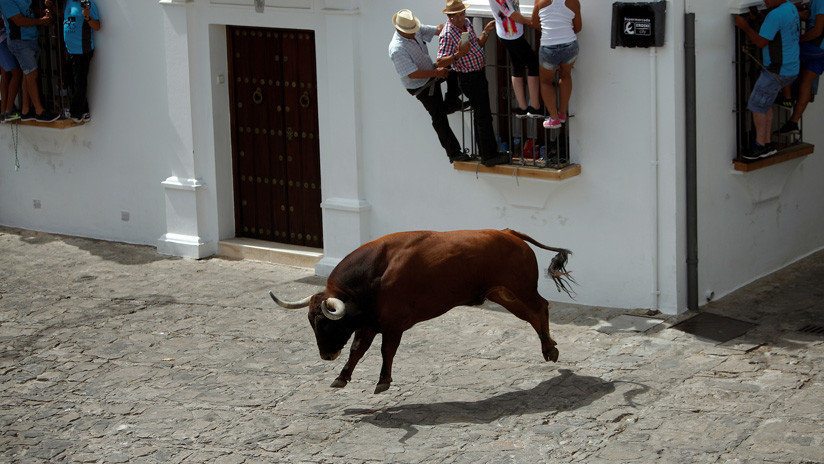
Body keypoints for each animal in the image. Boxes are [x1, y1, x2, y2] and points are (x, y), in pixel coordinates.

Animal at [268, 227, 572, 392]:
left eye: (328, 323)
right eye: (311, 322)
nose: (326, 355)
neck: (375, 272)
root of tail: (509, 233)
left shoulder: (392, 324)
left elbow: (386, 350)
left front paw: (383, 381)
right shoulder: (369, 323)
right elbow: (357, 350)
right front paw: (342, 377)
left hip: (521, 289)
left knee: (541, 307)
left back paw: (549, 348)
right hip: (503, 294)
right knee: (532, 315)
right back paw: (550, 347)